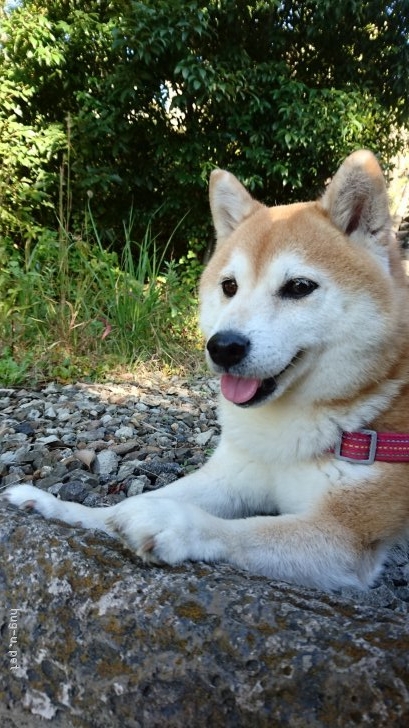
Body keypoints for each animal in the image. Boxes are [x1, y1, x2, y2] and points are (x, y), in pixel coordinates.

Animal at [3, 151, 408, 588]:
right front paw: (53, 507)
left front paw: (169, 521)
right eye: (229, 286)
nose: (223, 346)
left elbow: (244, 530)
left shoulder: (347, 535)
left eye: (299, 287)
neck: (285, 433)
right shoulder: (235, 474)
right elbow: (132, 502)